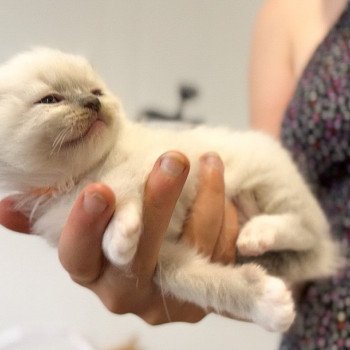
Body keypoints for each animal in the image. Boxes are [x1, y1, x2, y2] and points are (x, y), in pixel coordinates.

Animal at [0, 47, 340, 332]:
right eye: (50, 100)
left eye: (96, 92)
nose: (93, 103)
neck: (81, 176)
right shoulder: (164, 258)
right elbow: (203, 282)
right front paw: (268, 304)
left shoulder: (156, 160)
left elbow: (118, 185)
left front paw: (119, 239)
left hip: (272, 185)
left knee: (307, 228)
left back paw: (259, 232)